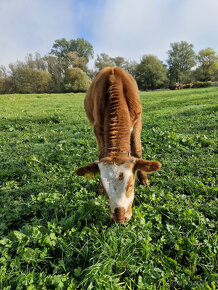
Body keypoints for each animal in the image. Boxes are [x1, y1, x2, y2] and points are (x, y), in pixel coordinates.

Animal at [76, 67, 161, 223]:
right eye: (104, 186)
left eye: (131, 184)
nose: (119, 217)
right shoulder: (97, 128)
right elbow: (101, 153)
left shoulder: (138, 120)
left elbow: (137, 151)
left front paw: (144, 179)